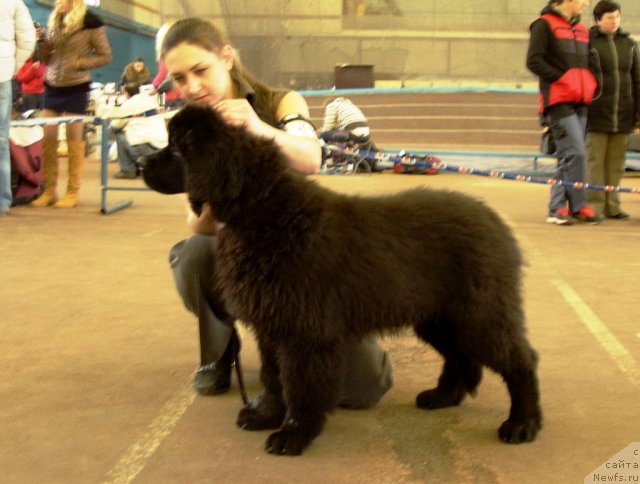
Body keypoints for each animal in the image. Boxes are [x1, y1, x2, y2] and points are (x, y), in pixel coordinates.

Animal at [140, 104, 540, 456]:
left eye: (177, 147)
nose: (142, 163)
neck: (266, 214)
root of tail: (496, 222)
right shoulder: (272, 325)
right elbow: (273, 377)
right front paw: (265, 415)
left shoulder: (304, 331)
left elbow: (299, 385)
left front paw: (294, 435)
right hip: (438, 316)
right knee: (461, 356)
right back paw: (443, 397)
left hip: (480, 314)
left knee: (520, 361)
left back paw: (523, 424)